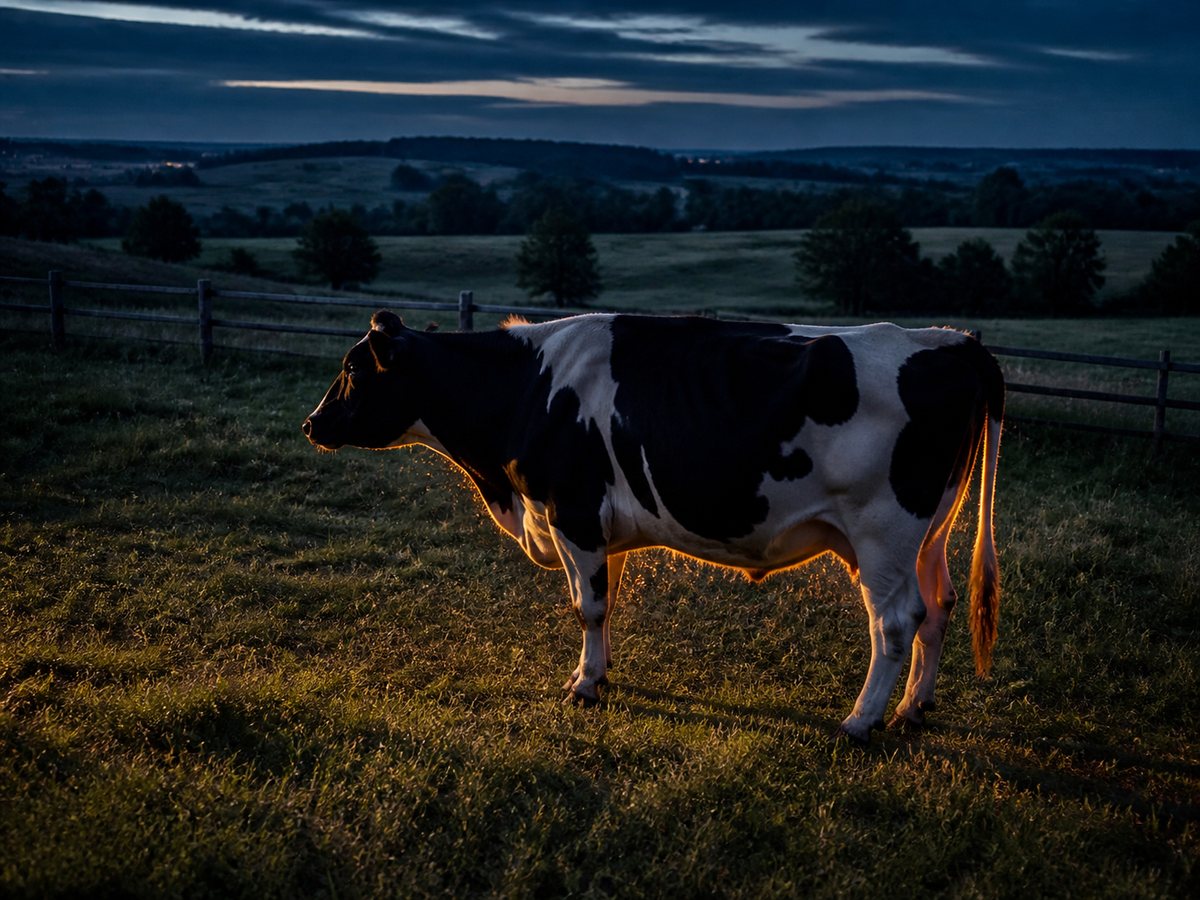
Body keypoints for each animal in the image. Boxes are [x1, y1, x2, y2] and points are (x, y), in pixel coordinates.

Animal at [303, 310, 1004, 744]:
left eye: (354, 370)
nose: (312, 424)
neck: (528, 389)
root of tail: (953, 341)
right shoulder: (595, 525)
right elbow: (606, 602)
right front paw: (600, 673)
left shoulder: (573, 510)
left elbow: (587, 605)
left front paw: (585, 686)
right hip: (929, 532)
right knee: (937, 606)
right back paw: (913, 708)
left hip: (883, 530)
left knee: (894, 622)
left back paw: (861, 721)